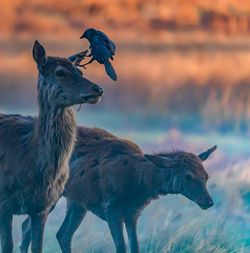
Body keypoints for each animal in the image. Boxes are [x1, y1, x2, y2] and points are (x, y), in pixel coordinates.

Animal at [0, 40, 103, 253]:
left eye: (79, 71)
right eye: (60, 72)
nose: (97, 89)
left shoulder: (43, 206)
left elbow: (37, 246)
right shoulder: (3, 200)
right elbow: (7, 245)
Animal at [19, 127, 216, 253]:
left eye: (206, 176)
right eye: (188, 176)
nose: (209, 201)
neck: (139, 184)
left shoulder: (132, 213)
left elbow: (135, 246)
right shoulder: (111, 209)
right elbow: (121, 246)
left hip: (77, 204)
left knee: (60, 234)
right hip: (52, 195)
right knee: (32, 227)